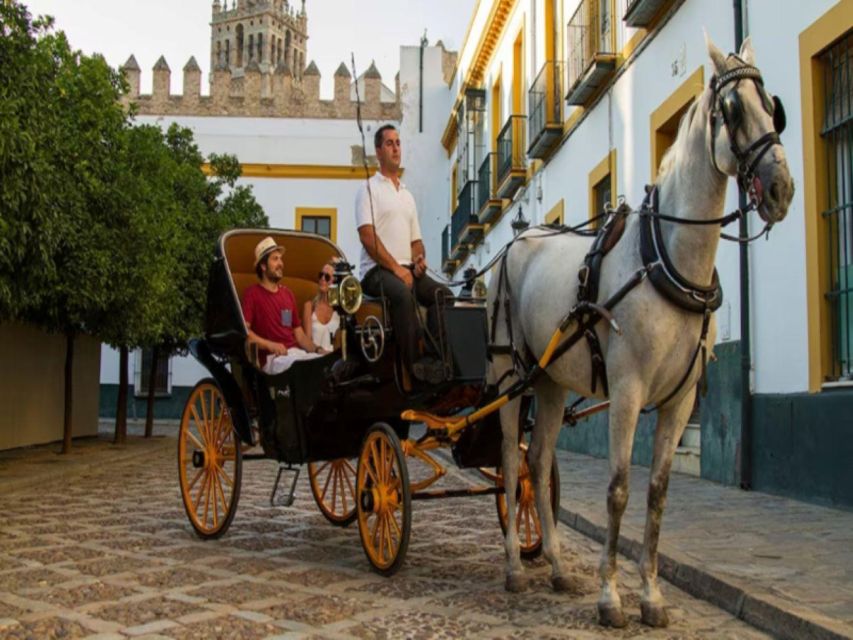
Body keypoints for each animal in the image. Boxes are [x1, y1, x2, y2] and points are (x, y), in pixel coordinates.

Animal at [490, 37, 796, 628]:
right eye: (732, 109)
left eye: (773, 107)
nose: (781, 188)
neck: (664, 259)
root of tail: (518, 239)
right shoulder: (628, 391)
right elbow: (617, 489)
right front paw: (610, 597)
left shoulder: (680, 399)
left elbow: (656, 494)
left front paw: (651, 595)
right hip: (508, 377)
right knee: (512, 463)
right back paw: (514, 566)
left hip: (550, 382)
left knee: (537, 465)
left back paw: (556, 566)